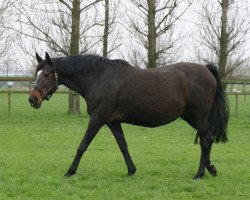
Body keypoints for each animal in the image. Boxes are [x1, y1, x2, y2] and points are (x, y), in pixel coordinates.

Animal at [29, 52, 229, 180]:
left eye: (46, 74)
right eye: (36, 73)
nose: (33, 99)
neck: (99, 78)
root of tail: (206, 69)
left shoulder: (98, 119)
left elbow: (82, 146)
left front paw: (69, 172)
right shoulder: (112, 122)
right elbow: (123, 145)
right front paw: (131, 171)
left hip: (199, 116)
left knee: (205, 140)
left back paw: (199, 174)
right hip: (190, 117)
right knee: (208, 137)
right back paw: (211, 169)